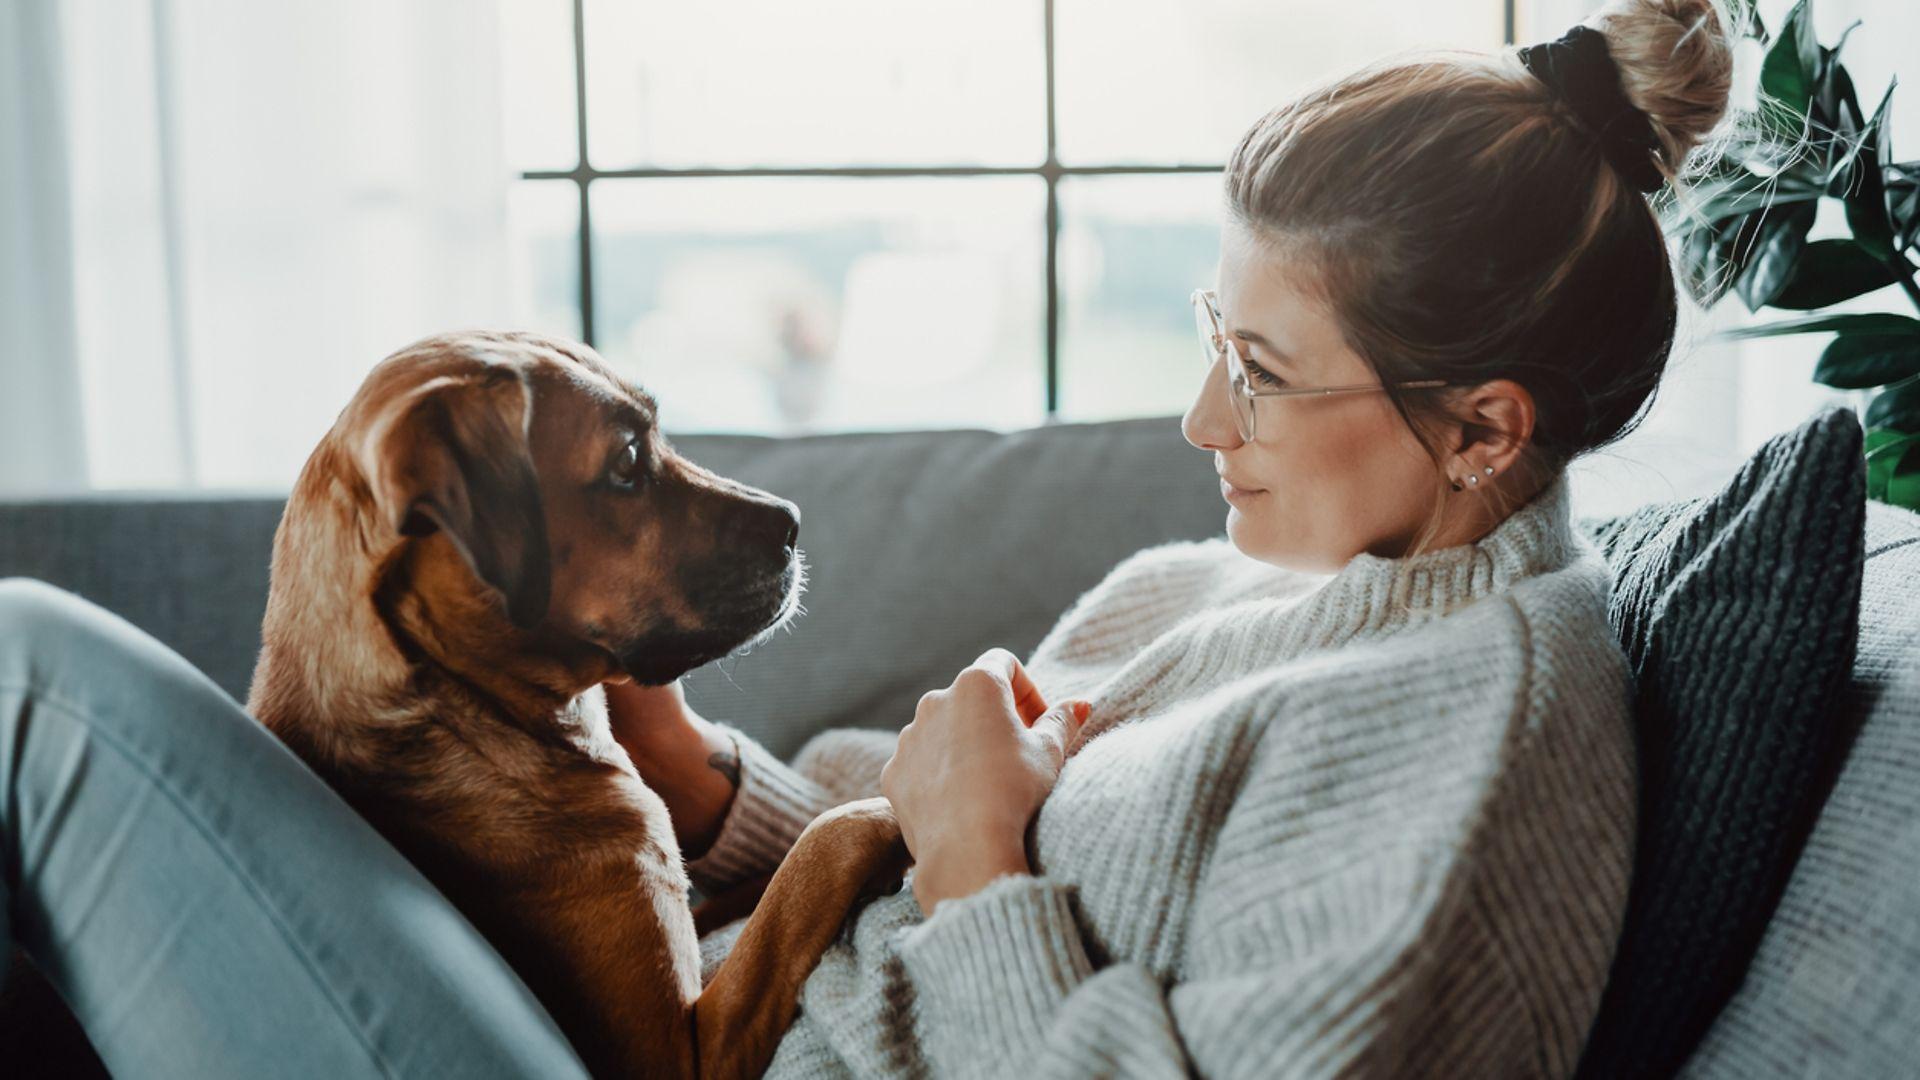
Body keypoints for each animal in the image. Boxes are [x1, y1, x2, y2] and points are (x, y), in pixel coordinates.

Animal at [245, 330, 906, 1076]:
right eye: (627, 463)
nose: (794, 522)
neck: (466, 712)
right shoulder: (680, 1052)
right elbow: (817, 853)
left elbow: (767, 881)